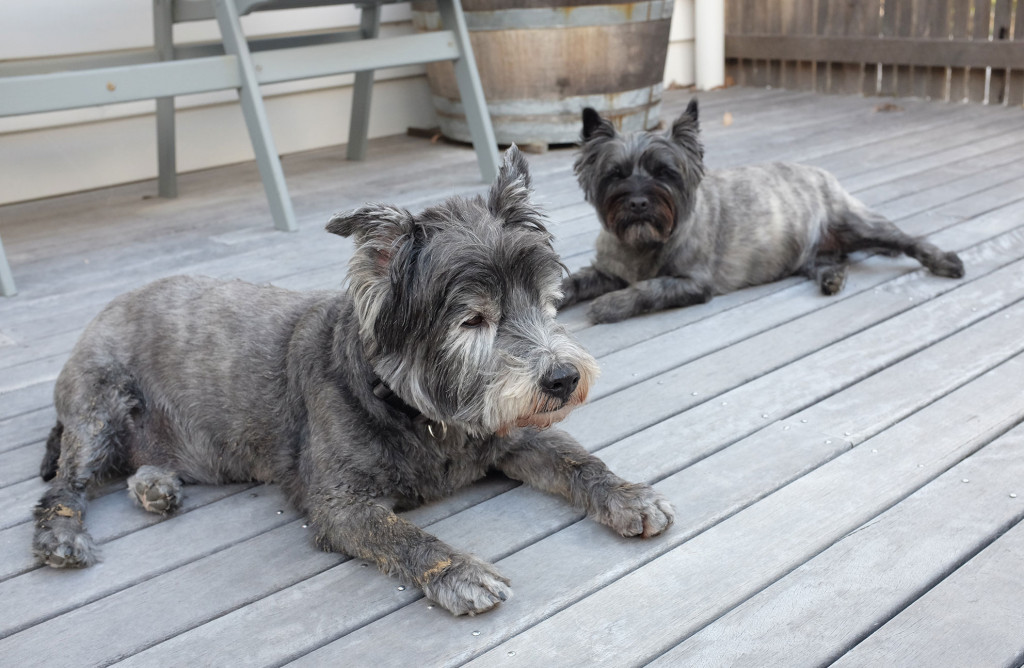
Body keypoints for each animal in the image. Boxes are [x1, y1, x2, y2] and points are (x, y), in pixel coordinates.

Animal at [34, 147, 671, 614]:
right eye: (472, 320)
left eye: (543, 297)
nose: (564, 378)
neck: (424, 417)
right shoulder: (339, 504)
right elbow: (401, 536)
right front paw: (459, 571)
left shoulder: (518, 433)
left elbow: (578, 459)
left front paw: (630, 495)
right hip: (97, 408)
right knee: (63, 485)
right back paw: (62, 536)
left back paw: (155, 485)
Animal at [561, 100, 966, 325]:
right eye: (616, 175)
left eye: (665, 173)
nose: (638, 202)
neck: (643, 245)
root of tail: (820, 172)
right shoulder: (607, 270)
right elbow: (571, 281)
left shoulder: (693, 282)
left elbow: (650, 288)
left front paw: (611, 304)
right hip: (810, 253)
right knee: (829, 261)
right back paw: (832, 277)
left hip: (858, 224)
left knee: (911, 240)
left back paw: (945, 260)